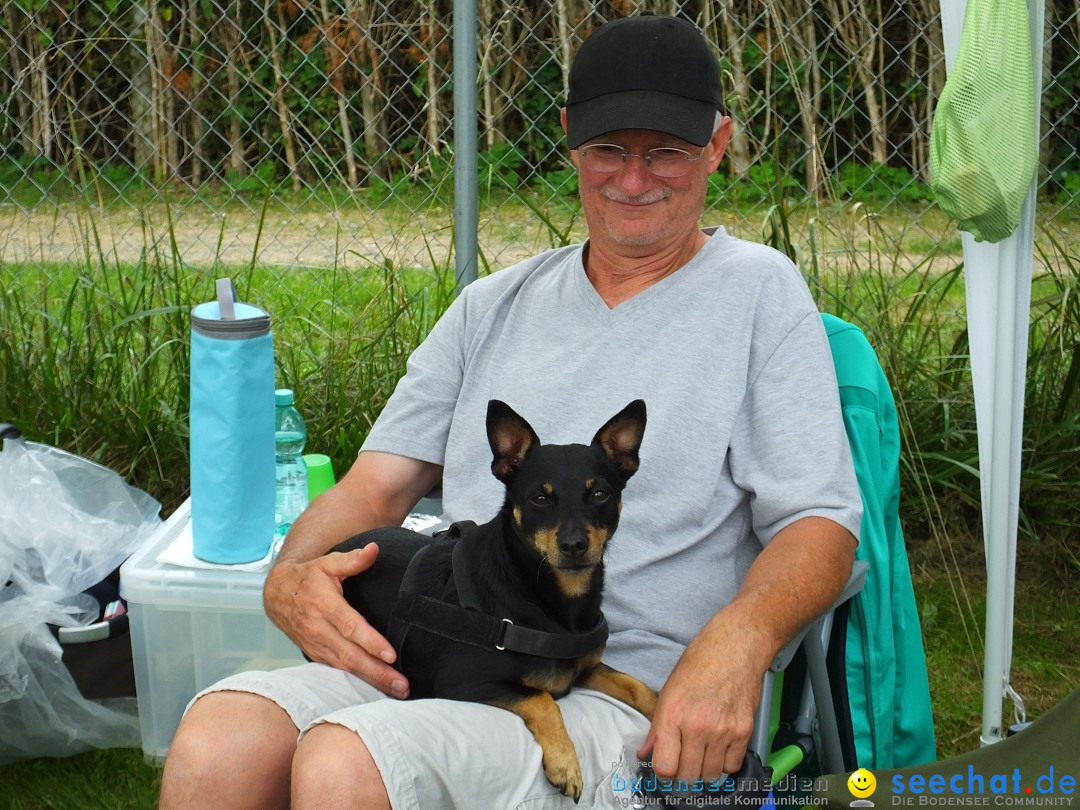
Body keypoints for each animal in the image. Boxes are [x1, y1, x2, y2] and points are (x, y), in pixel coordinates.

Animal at [332, 399, 656, 799]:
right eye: (539, 498)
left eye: (600, 495)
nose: (574, 546)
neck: (548, 599)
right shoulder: (461, 681)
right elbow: (541, 700)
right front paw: (565, 762)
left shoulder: (586, 670)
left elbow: (641, 688)